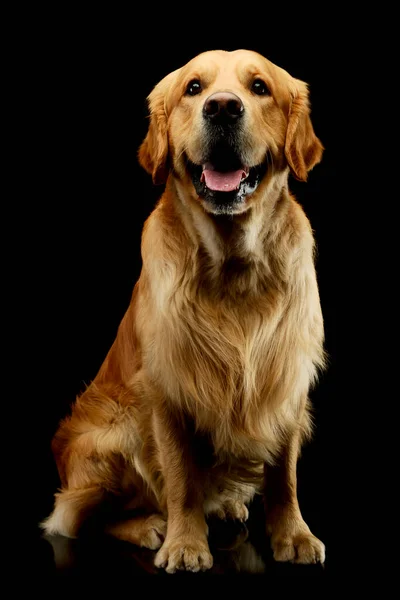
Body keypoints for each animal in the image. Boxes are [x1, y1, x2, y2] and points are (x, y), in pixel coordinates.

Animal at [42, 50, 326, 572]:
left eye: (259, 86)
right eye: (194, 88)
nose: (222, 108)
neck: (234, 267)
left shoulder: (285, 383)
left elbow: (284, 475)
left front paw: (293, 535)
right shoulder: (168, 389)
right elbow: (180, 478)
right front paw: (185, 544)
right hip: (113, 432)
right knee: (80, 518)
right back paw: (148, 525)